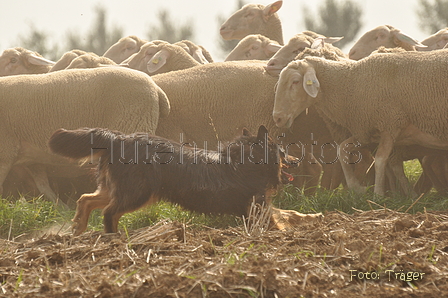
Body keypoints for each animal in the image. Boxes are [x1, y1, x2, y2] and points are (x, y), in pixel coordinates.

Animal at [49, 125, 316, 235]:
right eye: (283, 152)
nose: (296, 160)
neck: (246, 163)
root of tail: (119, 138)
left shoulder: (261, 207)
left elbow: (290, 214)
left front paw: (312, 218)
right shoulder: (257, 207)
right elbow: (279, 222)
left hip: (120, 189)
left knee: (86, 199)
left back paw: (78, 227)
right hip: (137, 193)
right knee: (109, 212)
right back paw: (112, 236)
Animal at [272, 50, 448, 196]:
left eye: (295, 82)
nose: (277, 118)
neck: (351, 83)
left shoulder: (390, 124)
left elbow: (380, 160)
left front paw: (378, 195)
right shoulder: (367, 132)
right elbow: (342, 151)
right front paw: (358, 188)